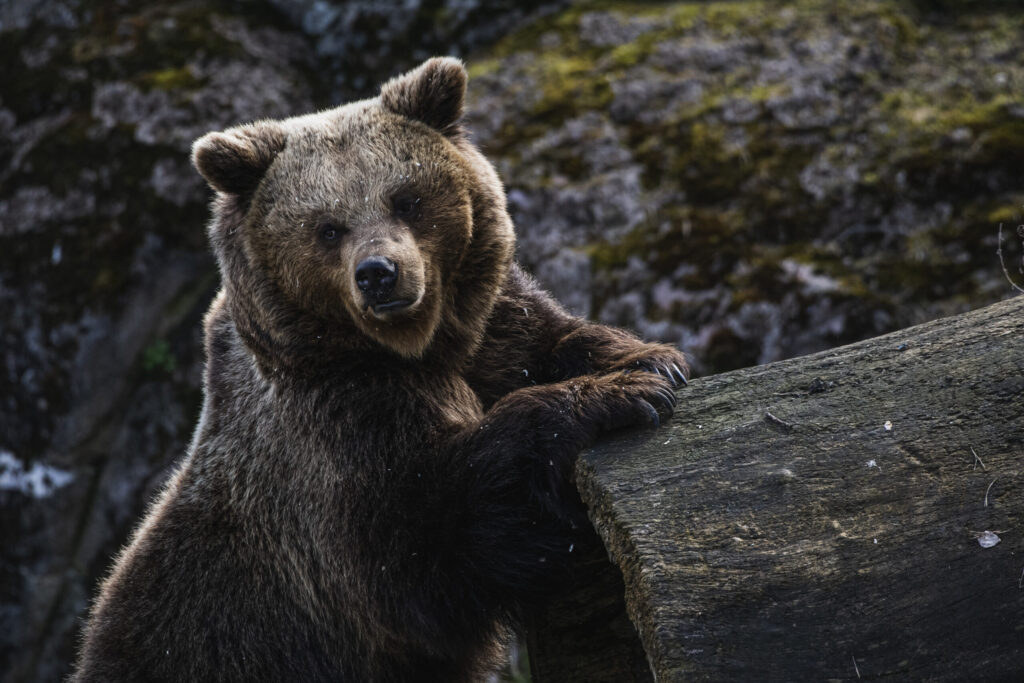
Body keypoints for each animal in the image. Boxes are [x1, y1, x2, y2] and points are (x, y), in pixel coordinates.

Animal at [74, 58, 688, 683]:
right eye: (327, 227)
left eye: (406, 198)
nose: (379, 273)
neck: (410, 346)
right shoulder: (335, 429)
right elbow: (421, 535)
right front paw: (620, 396)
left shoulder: (489, 327)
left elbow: (544, 340)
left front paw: (651, 362)